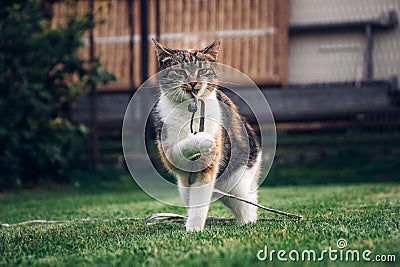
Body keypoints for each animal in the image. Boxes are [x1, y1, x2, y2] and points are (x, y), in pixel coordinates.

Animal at [152, 38, 260, 232]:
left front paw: (194, 227)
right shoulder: (168, 153)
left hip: (240, 183)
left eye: (202, 70)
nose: (193, 83)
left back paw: (246, 222)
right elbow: (178, 150)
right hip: (185, 187)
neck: (190, 111)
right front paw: (201, 140)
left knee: (247, 207)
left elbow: (200, 200)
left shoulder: (208, 168)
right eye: (180, 71)